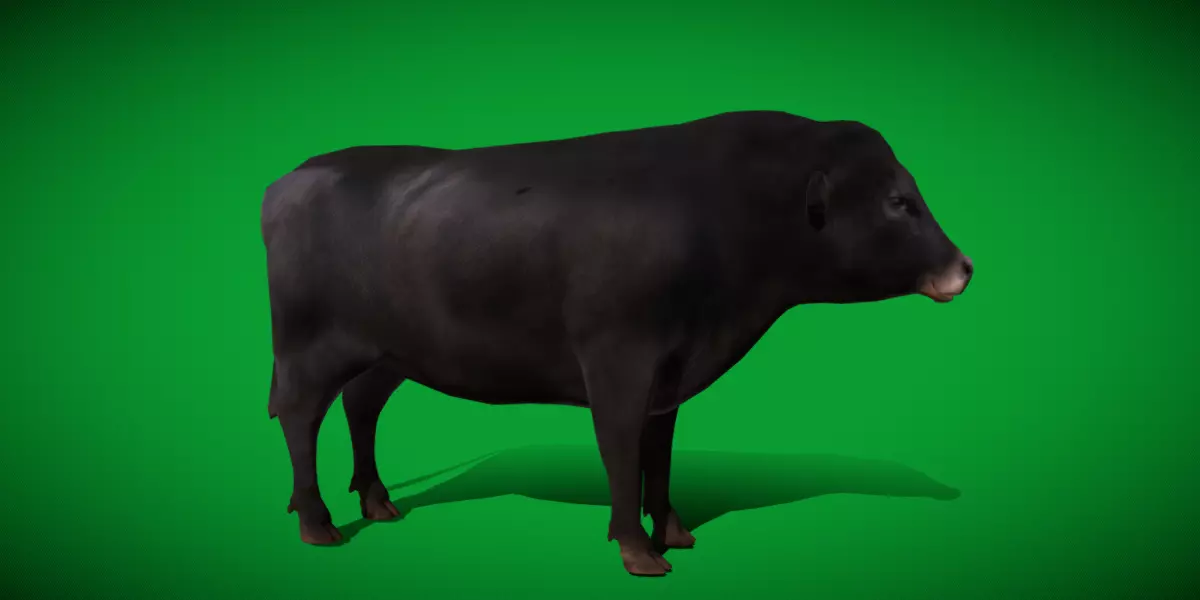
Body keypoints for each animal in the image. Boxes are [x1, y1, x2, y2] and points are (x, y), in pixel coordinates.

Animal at [260, 110, 974, 576]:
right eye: (897, 202)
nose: (964, 267)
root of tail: (292, 177)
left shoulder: (671, 373)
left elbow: (659, 454)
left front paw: (675, 532)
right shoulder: (619, 361)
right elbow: (623, 452)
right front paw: (637, 550)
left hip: (386, 353)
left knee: (361, 407)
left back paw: (378, 503)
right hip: (308, 347)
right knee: (301, 416)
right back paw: (319, 524)